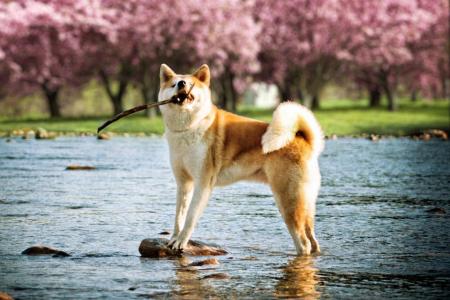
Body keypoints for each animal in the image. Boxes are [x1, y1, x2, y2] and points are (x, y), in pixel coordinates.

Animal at [158, 63, 324, 255]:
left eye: (190, 83)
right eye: (173, 84)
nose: (182, 83)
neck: (189, 127)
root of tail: (302, 139)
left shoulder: (202, 184)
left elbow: (190, 217)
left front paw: (181, 242)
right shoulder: (184, 184)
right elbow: (179, 216)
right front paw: (173, 239)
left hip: (288, 201)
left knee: (304, 243)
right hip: (304, 202)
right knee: (313, 240)